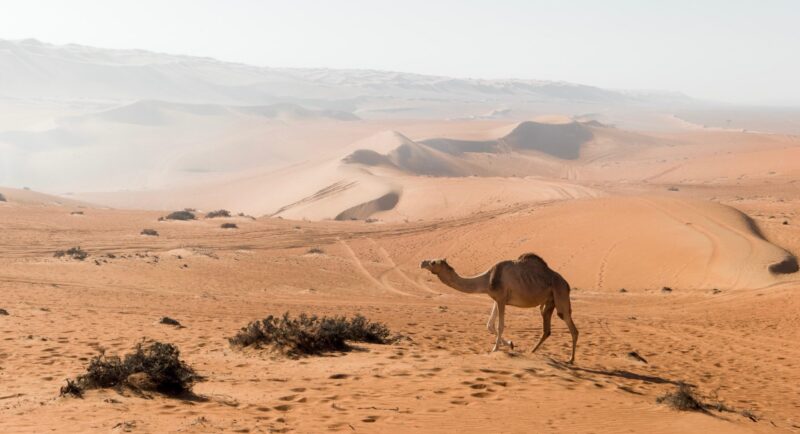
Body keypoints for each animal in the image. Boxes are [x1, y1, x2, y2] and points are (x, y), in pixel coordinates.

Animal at [420, 253, 578, 363]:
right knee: (547, 329)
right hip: (549, 302)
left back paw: (570, 360)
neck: (487, 279)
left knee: (571, 326)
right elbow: (489, 325)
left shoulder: (501, 299)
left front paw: (495, 349)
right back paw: (532, 351)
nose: (422, 262)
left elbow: (500, 325)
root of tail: (567, 284)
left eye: (433, 262)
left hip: (560, 294)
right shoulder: (497, 299)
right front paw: (511, 344)